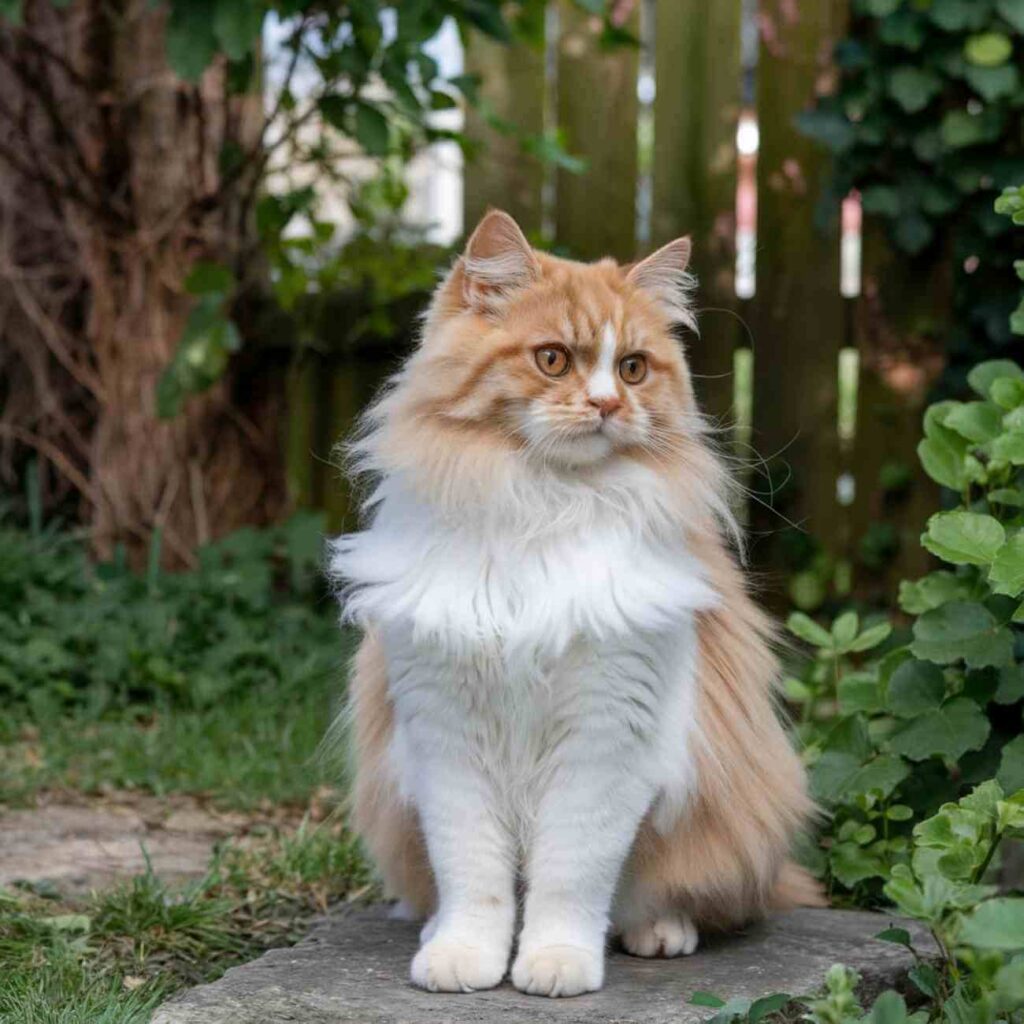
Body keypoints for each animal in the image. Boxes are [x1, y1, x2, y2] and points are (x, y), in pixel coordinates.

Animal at [329, 209, 823, 999]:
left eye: (633, 369)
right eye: (554, 360)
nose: (607, 404)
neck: (545, 508)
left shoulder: (606, 732)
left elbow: (571, 873)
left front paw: (556, 964)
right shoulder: (447, 730)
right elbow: (474, 875)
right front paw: (463, 959)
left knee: (667, 899)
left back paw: (658, 934)